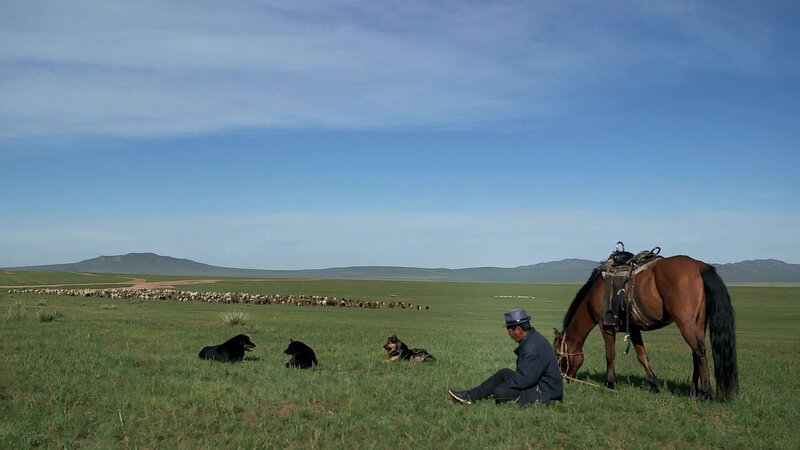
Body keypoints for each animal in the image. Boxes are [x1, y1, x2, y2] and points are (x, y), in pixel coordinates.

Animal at [556, 255, 736, 400]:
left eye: (558, 354)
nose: (565, 378)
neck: (594, 294)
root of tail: (699, 265)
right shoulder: (634, 329)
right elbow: (642, 356)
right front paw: (655, 384)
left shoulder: (605, 326)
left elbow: (610, 354)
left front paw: (610, 383)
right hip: (699, 323)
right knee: (695, 354)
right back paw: (693, 392)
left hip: (685, 322)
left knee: (699, 351)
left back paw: (706, 392)